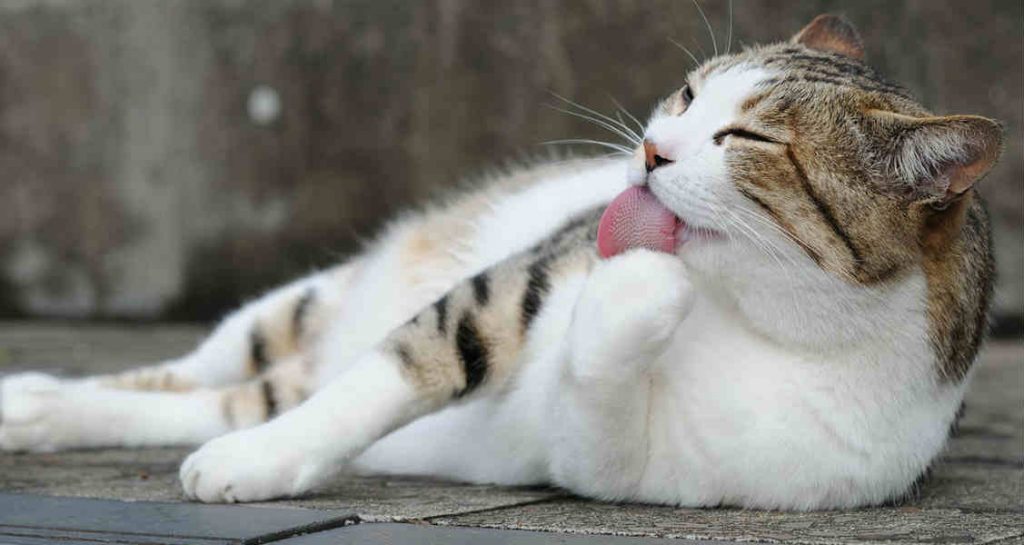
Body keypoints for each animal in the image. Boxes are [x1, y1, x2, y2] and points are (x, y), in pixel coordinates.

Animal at [0, 13, 999, 510]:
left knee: (225, 399)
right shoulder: (513, 281)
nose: (649, 151)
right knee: (210, 371)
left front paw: (641, 289)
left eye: (747, 137)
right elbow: (400, 367)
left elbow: (597, 402)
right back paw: (41, 399)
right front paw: (264, 460)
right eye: (685, 95)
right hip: (300, 304)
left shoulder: (626, 463)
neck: (751, 316)